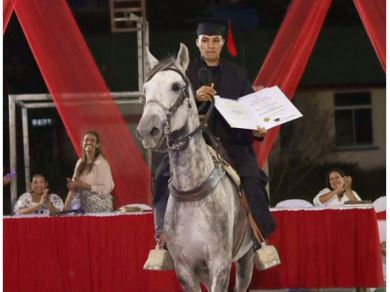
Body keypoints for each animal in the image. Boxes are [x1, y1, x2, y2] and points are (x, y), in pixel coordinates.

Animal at [136, 43, 254, 292]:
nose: (147, 129)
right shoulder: (185, 270)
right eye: (146, 89)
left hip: (245, 258)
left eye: (176, 86)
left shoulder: (219, 265)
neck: (193, 191)